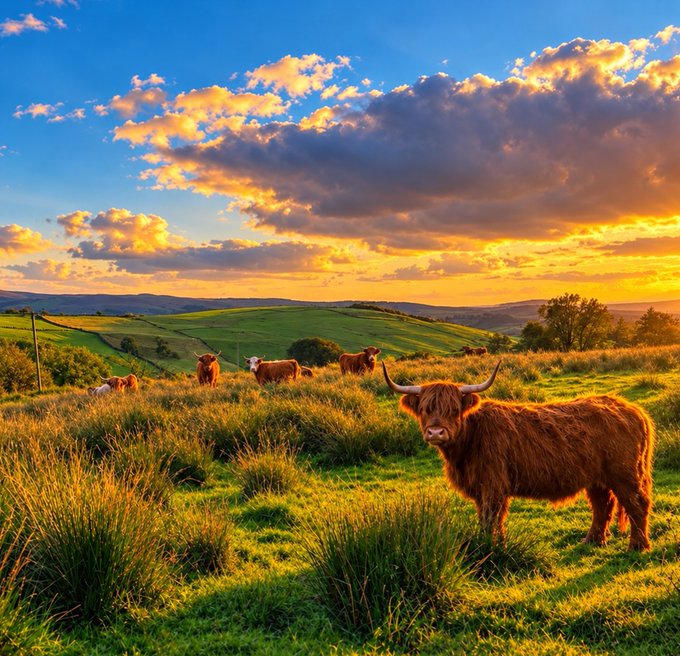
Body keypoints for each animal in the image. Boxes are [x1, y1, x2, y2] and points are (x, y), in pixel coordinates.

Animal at [382, 361, 654, 551]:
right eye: (425, 409)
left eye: (454, 409)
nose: (436, 432)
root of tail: (633, 408)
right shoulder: (482, 487)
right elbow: (489, 517)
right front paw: (498, 545)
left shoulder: (493, 484)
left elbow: (491, 518)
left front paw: (488, 547)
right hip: (597, 478)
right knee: (602, 505)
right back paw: (592, 541)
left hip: (625, 474)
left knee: (637, 503)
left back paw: (637, 546)